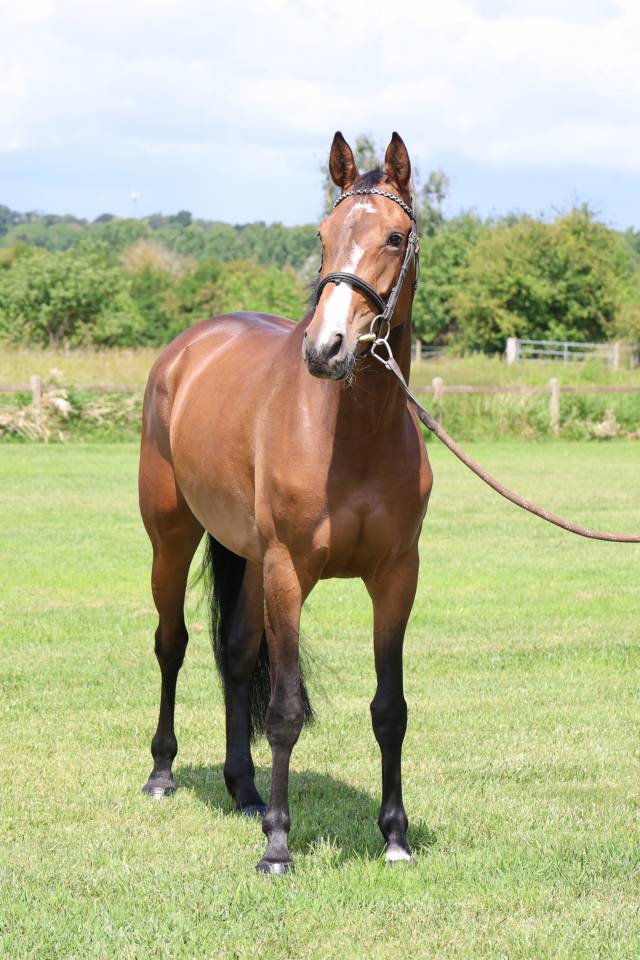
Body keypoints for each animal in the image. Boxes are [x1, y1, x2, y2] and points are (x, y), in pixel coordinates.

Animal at [139, 131, 433, 873]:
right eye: (324, 236)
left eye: (394, 236)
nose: (326, 349)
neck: (351, 436)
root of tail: (189, 348)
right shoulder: (287, 571)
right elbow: (285, 711)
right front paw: (278, 845)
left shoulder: (397, 577)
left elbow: (390, 708)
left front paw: (394, 836)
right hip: (172, 538)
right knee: (173, 644)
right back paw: (162, 773)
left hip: (242, 553)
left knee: (238, 653)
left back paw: (242, 789)